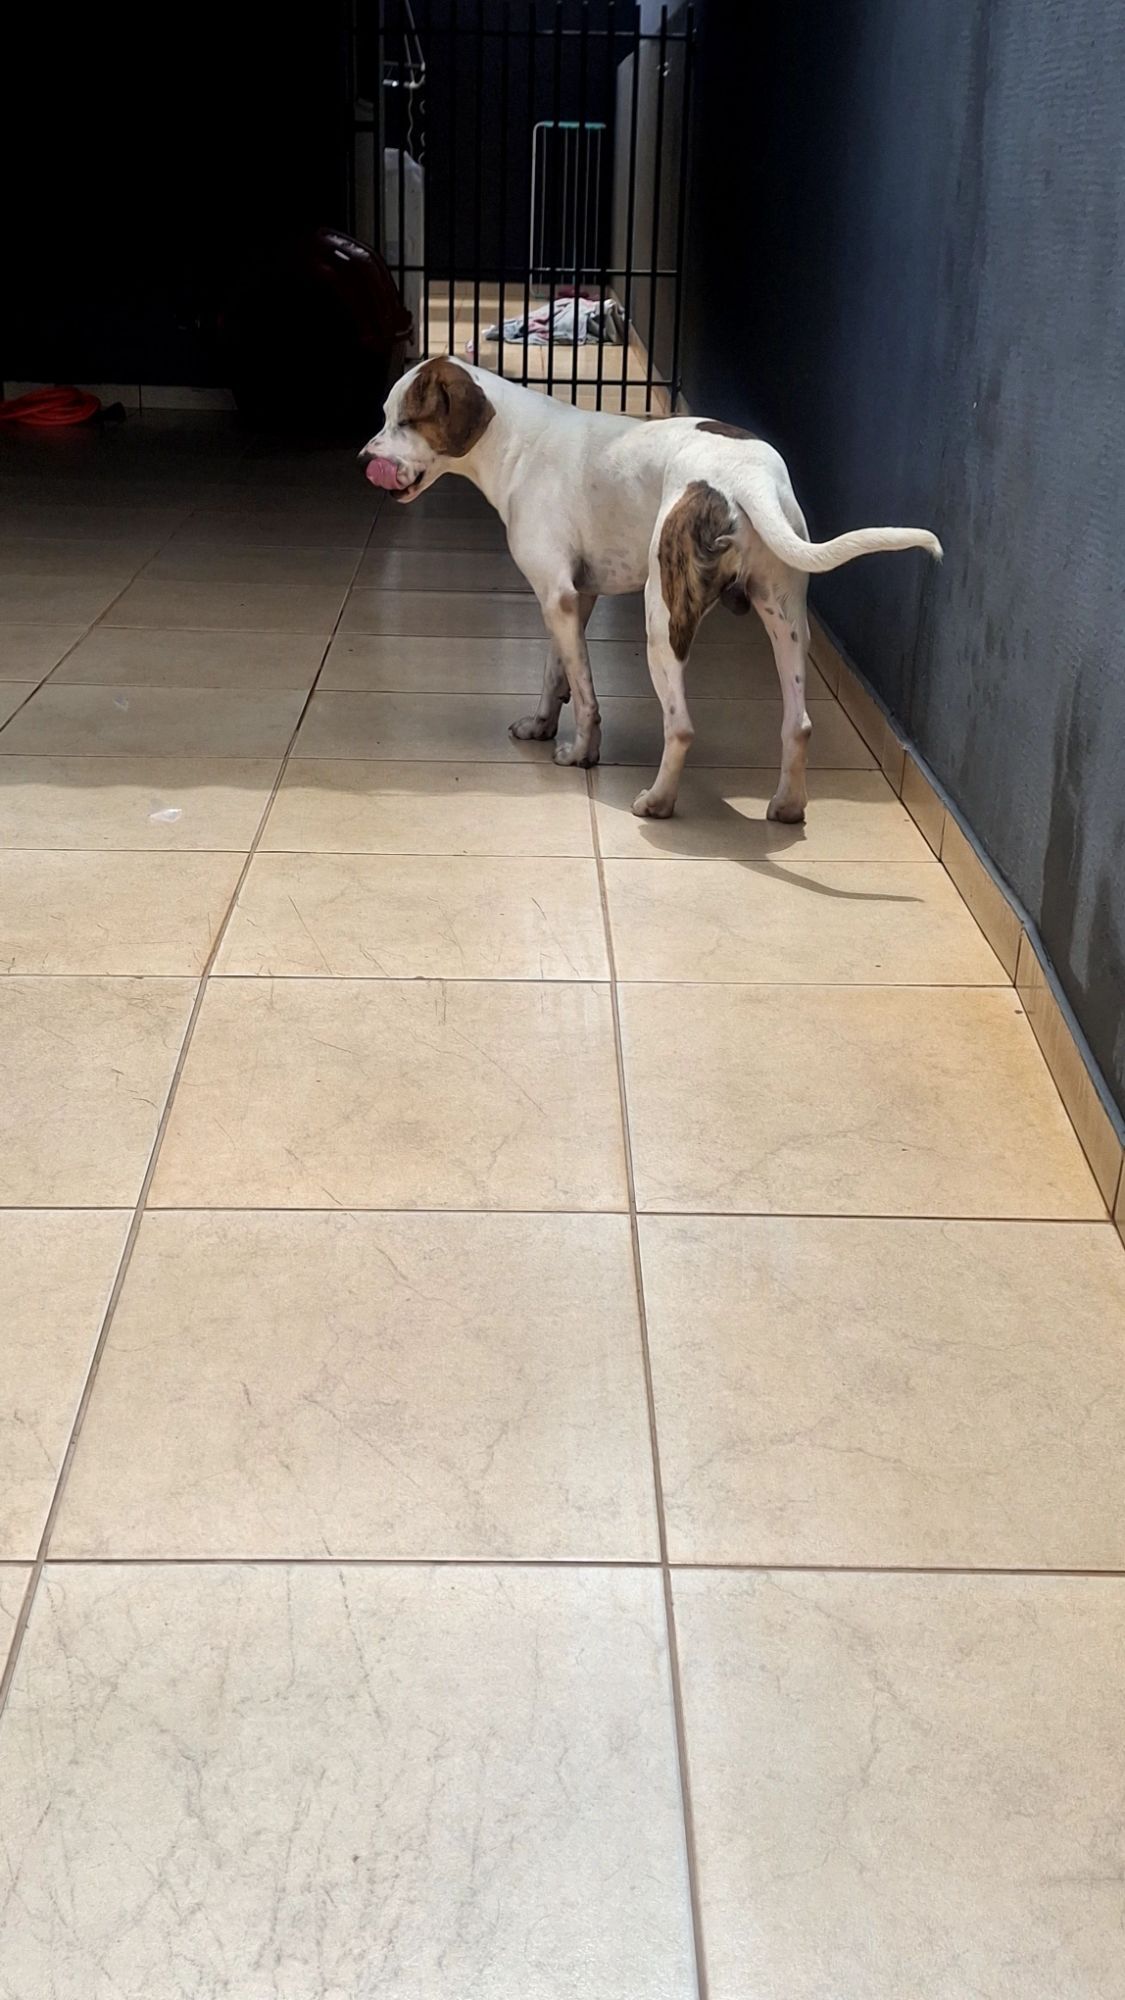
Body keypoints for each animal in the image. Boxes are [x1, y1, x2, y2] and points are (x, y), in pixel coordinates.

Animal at [359, 357, 941, 821]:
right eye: (387, 416)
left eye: (406, 420)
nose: (364, 459)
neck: (515, 441)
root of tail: (747, 477)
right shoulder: (572, 597)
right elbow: (555, 671)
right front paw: (542, 724)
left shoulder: (558, 596)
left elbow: (586, 695)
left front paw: (580, 753)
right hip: (787, 619)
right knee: (798, 723)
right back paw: (787, 807)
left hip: (663, 618)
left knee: (680, 726)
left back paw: (658, 802)